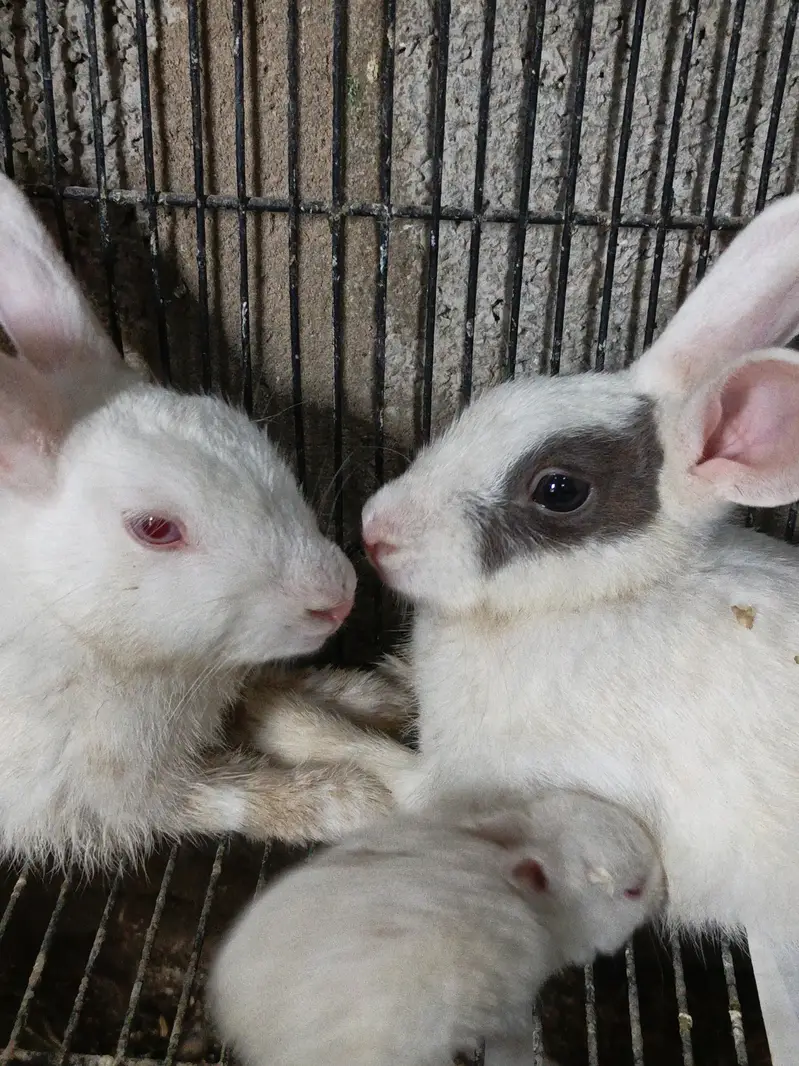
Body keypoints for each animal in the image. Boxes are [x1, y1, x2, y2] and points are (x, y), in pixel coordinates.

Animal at [0, 173, 416, 871]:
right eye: (154, 528)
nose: (336, 596)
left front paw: (371, 695)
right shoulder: (108, 794)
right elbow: (227, 795)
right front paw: (353, 800)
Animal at [260, 192, 799, 949]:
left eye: (559, 490)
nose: (376, 531)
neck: (595, 600)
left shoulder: (454, 786)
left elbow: (368, 761)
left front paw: (280, 716)